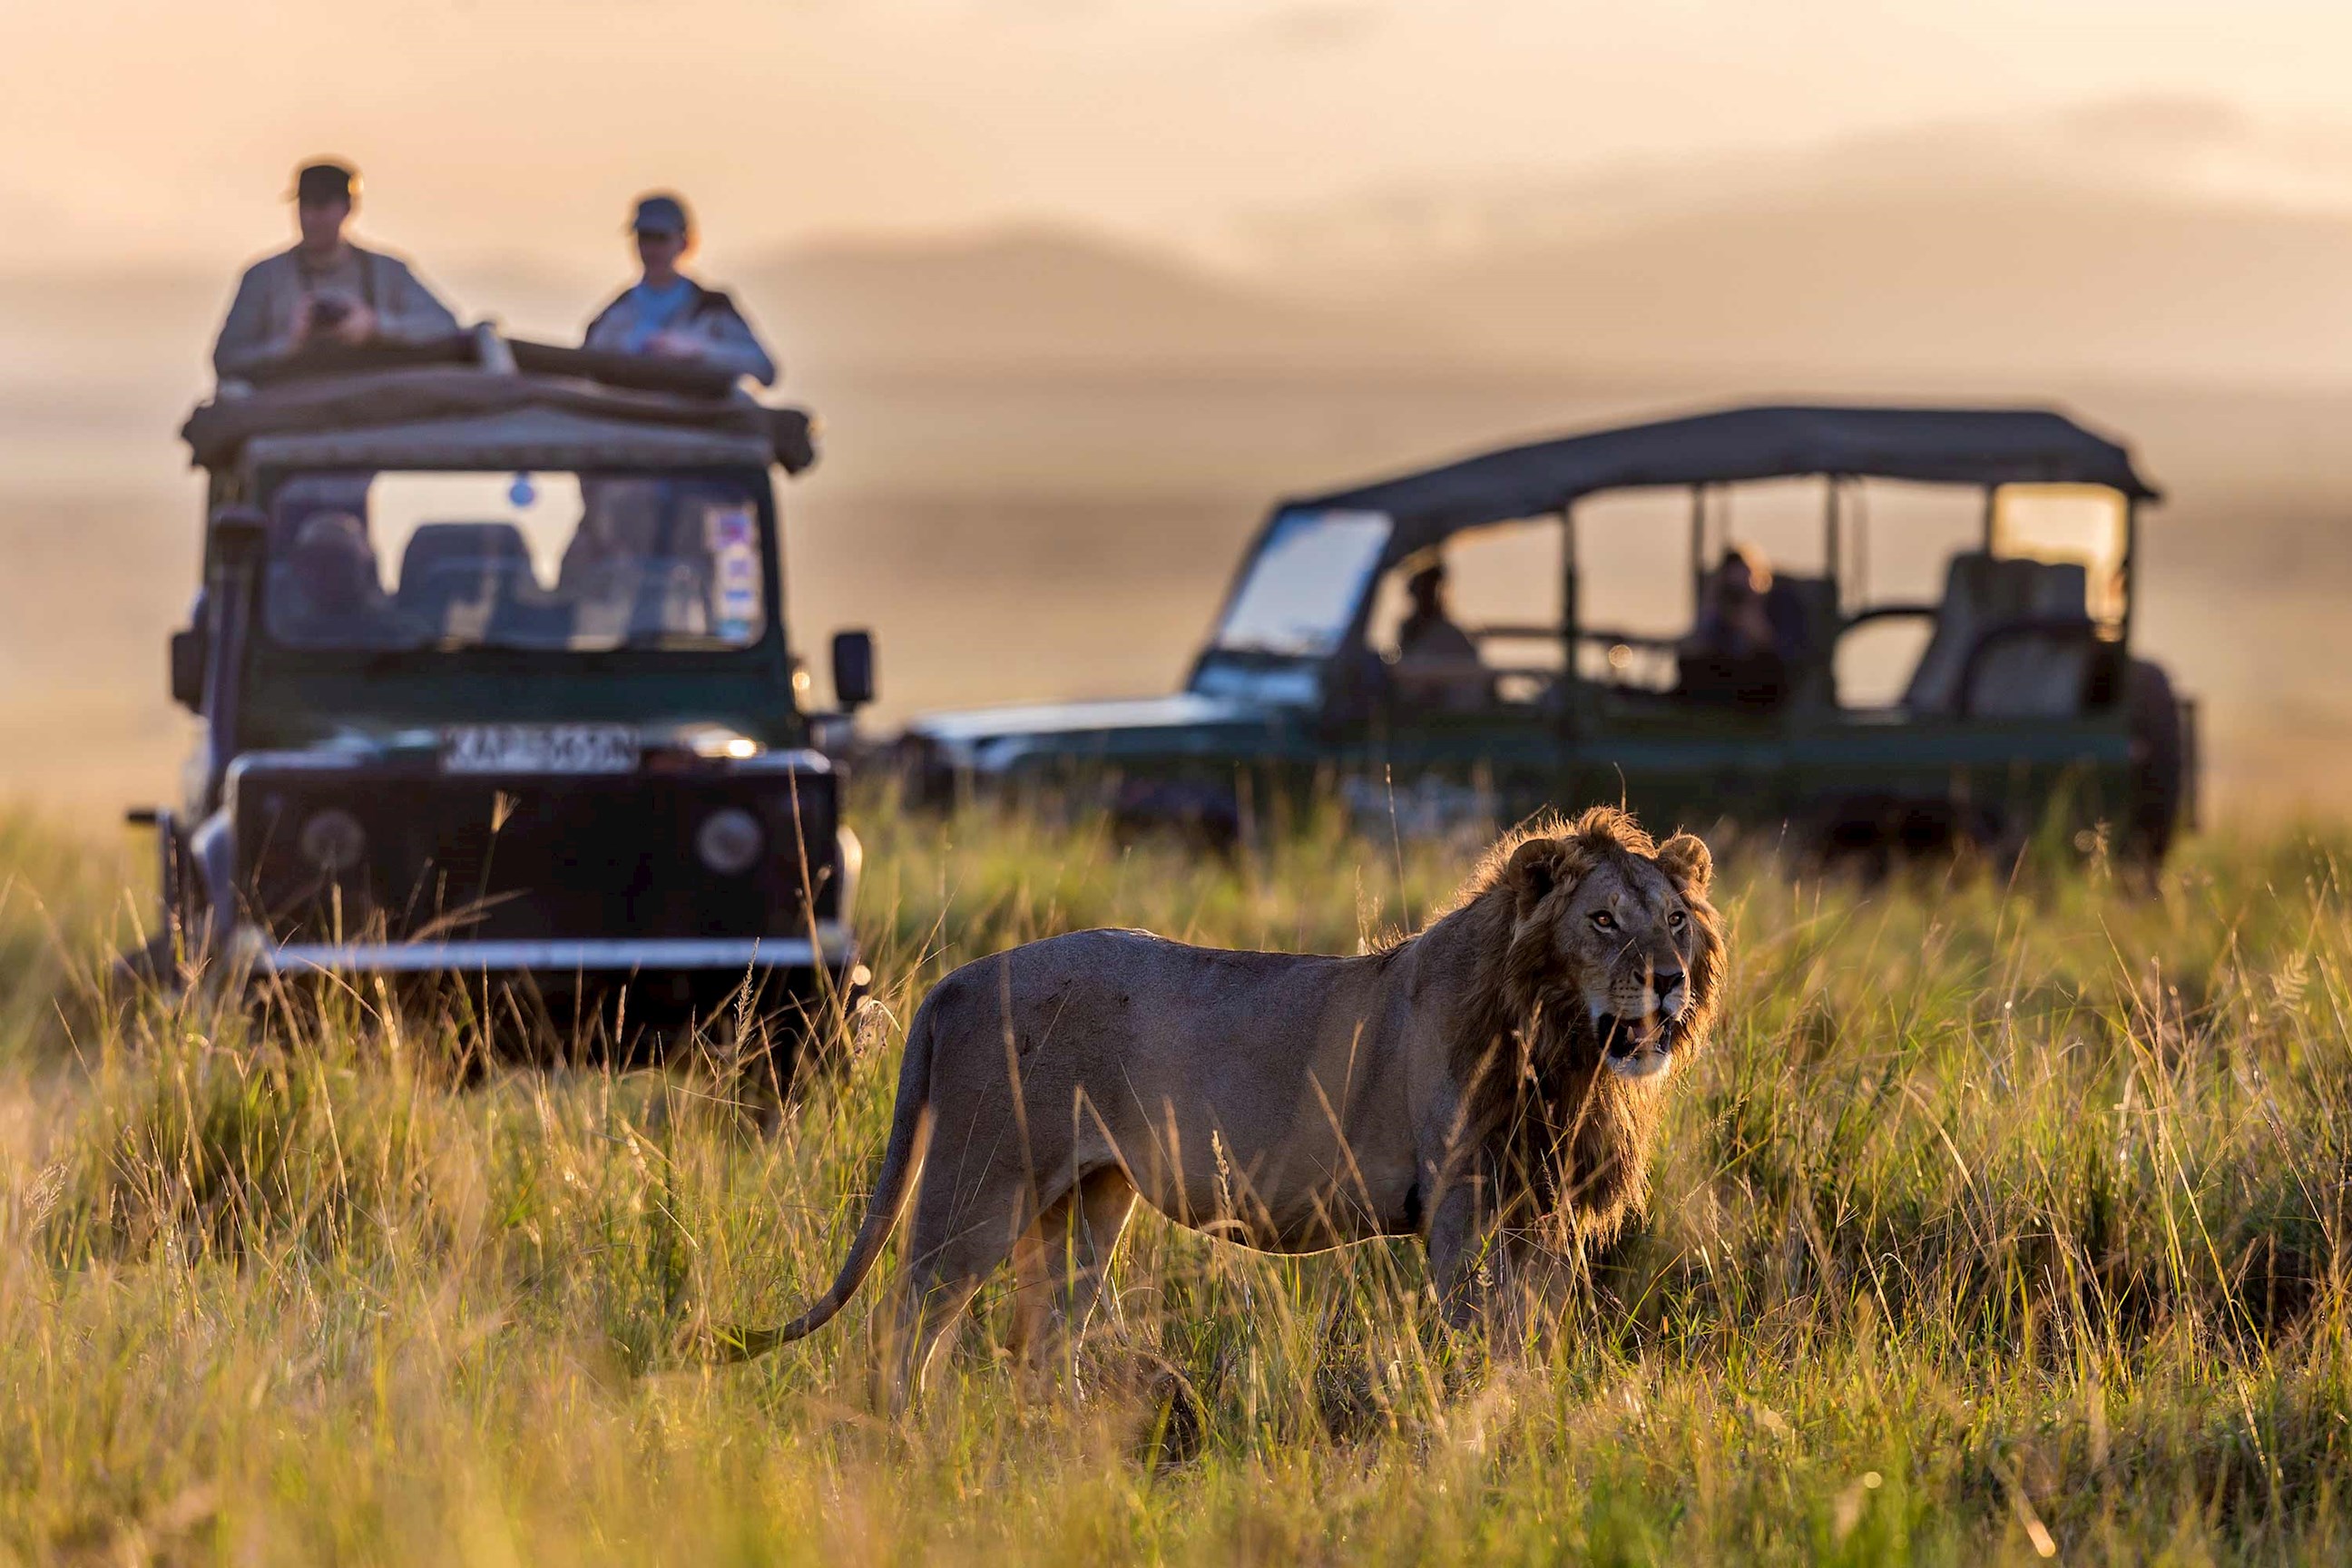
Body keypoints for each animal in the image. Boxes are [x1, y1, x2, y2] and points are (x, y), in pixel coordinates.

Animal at [720, 805, 1724, 1411]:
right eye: (1603, 920)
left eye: (1674, 919)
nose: (1667, 981)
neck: (1567, 1054)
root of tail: (957, 980)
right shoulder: (1462, 1209)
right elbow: (1480, 1342)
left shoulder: (1544, 1212)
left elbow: (1535, 1342)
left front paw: (1530, 1422)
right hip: (978, 1186)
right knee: (904, 1327)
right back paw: (908, 1447)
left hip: (1086, 1201)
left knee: (1039, 1344)